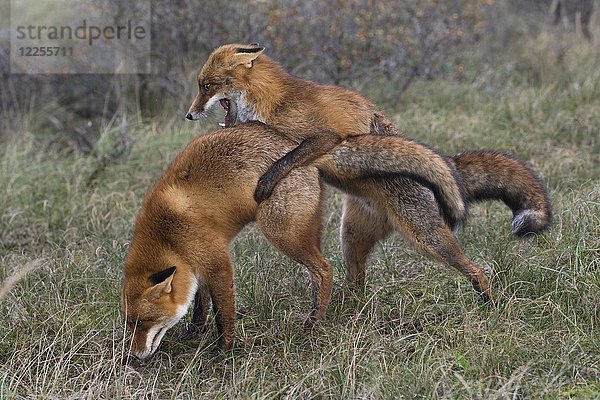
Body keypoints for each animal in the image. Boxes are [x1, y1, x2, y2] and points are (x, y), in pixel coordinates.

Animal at [185, 43, 552, 288]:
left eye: (207, 86)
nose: (189, 115)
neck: (272, 102)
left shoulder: (326, 137)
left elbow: (289, 157)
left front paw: (267, 181)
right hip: (350, 238)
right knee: (356, 283)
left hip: (429, 238)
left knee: (475, 269)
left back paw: (487, 299)